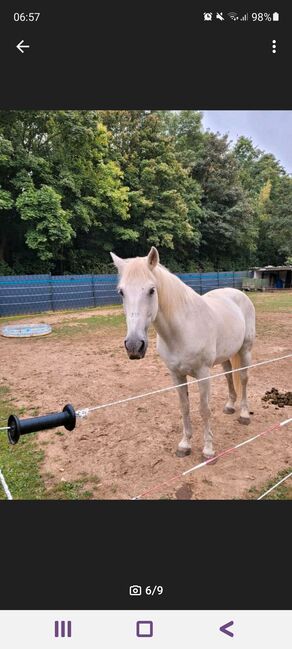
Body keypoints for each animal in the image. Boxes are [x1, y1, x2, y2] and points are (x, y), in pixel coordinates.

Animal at [110, 246, 256, 458]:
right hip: (226, 355)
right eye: (121, 292)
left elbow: (204, 409)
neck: (182, 329)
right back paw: (230, 406)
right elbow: (184, 407)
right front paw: (185, 445)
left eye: (152, 290)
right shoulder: (176, 375)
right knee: (229, 375)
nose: (134, 345)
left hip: (245, 350)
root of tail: (238, 294)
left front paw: (208, 450)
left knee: (243, 378)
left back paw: (244, 414)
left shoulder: (203, 374)